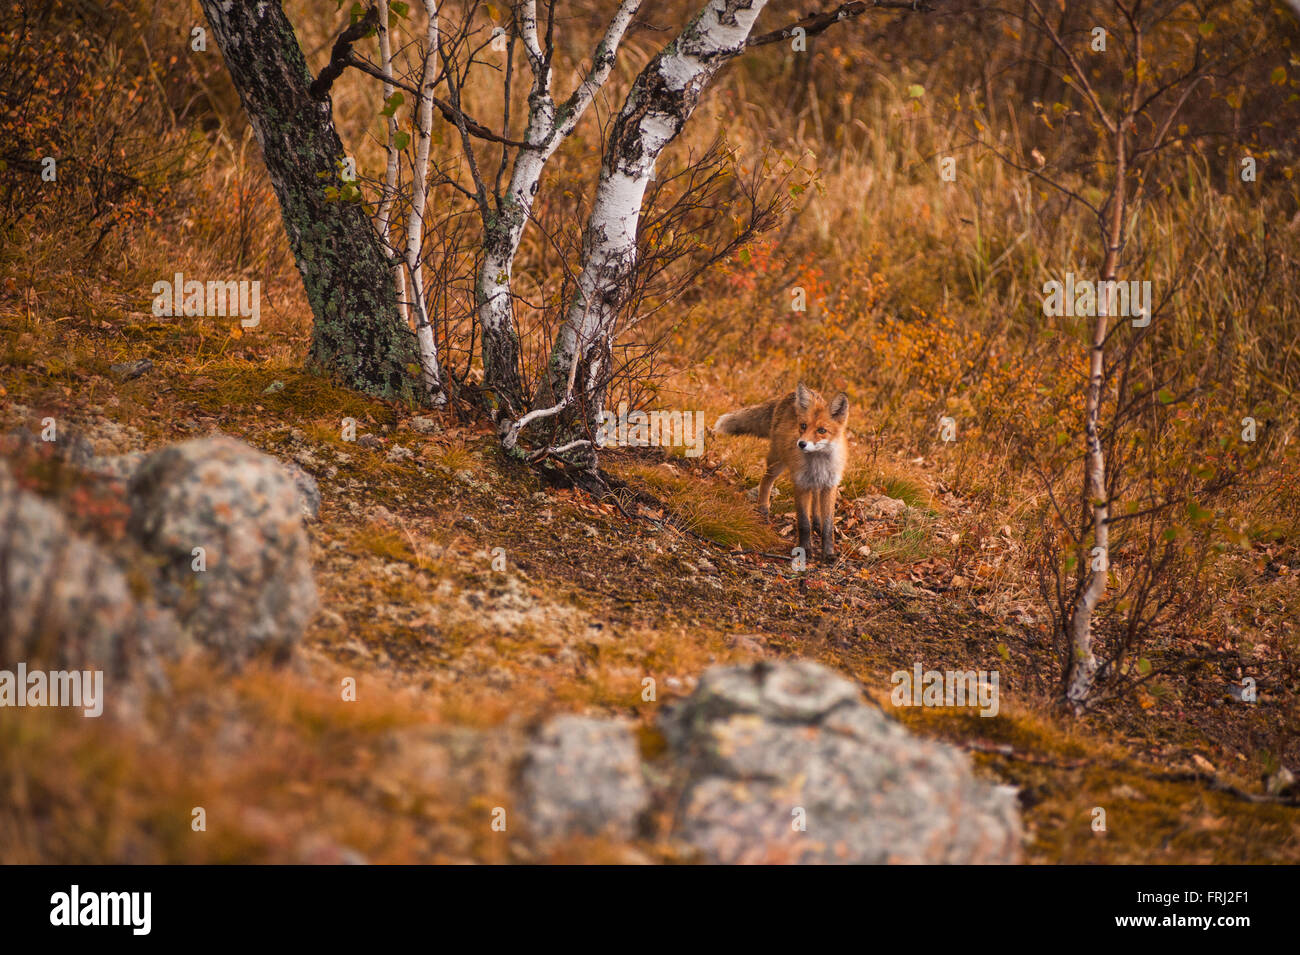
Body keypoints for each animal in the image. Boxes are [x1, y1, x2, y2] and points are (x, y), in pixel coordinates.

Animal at [714, 382, 850, 561]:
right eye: (803, 426)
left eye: (821, 430)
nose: (801, 444)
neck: (818, 463)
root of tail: (788, 395)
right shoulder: (800, 483)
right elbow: (803, 523)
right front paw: (805, 549)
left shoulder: (830, 485)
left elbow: (828, 526)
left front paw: (828, 553)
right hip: (777, 461)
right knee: (766, 481)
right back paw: (763, 510)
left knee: (814, 496)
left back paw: (817, 522)